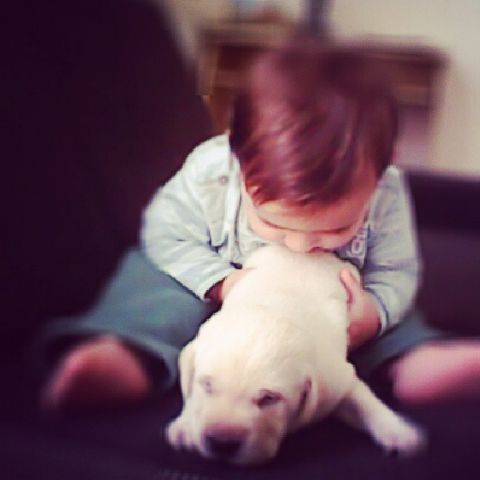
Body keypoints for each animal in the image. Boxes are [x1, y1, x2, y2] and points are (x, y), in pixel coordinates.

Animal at [166, 245, 425, 464]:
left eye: (269, 399)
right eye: (207, 385)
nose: (221, 443)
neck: (276, 307)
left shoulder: (337, 378)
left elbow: (363, 400)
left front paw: (398, 432)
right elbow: (191, 393)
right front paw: (185, 425)